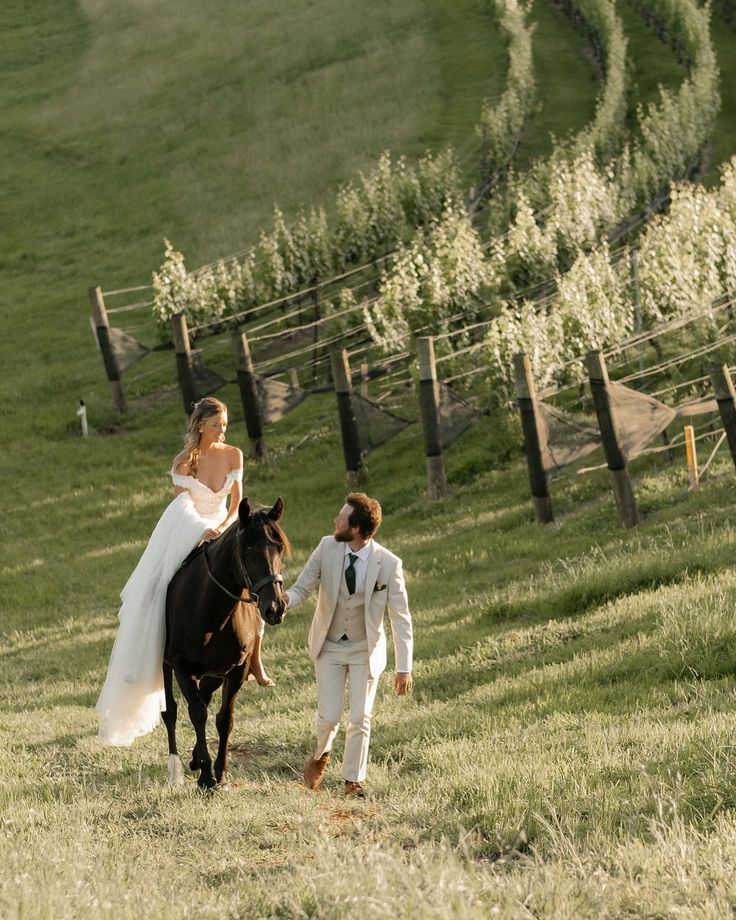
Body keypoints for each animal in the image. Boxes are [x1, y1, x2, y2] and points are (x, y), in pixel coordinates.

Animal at [163, 496, 288, 792]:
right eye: (249, 549)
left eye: (279, 547)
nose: (276, 608)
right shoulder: (182, 667)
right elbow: (196, 713)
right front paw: (207, 777)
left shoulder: (236, 671)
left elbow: (224, 719)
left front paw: (220, 773)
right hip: (167, 665)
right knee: (171, 711)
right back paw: (176, 767)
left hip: (213, 673)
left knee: (205, 697)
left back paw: (195, 759)